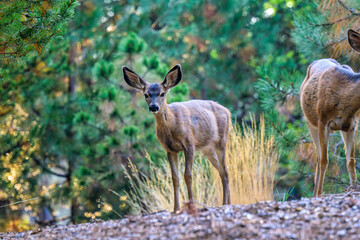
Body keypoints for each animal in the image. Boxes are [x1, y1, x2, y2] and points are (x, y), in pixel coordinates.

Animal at [122, 64, 232, 212]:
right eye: (146, 94)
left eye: (162, 94)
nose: (153, 107)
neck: (172, 126)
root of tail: (227, 111)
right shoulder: (170, 150)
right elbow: (175, 178)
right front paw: (176, 208)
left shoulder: (189, 144)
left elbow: (188, 175)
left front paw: (191, 205)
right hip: (207, 149)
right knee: (222, 170)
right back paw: (228, 202)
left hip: (222, 141)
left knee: (225, 170)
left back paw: (226, 203)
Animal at [300, 28, 360, 197]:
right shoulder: (323, 121)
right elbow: (324, 160)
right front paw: (319, 194)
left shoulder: (352, 124)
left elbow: (351, 160)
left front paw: (353, 188)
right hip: (310, 122)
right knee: (318, 156)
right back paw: (315, 193)